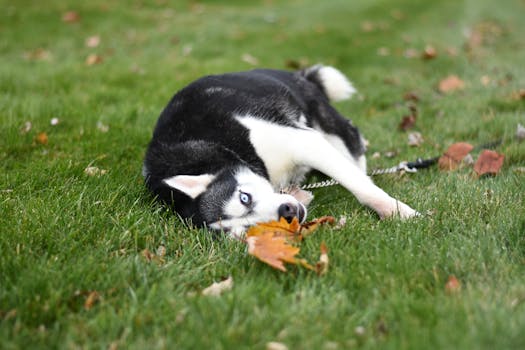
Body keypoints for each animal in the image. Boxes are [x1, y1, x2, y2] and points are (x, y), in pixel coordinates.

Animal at [143, 64, 418, 237]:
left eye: (244, 198)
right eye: (250, 229)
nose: (286, 212)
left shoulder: (302, 141)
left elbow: (360, 186)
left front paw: (397, 212)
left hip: (318, 115)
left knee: (351, 138)